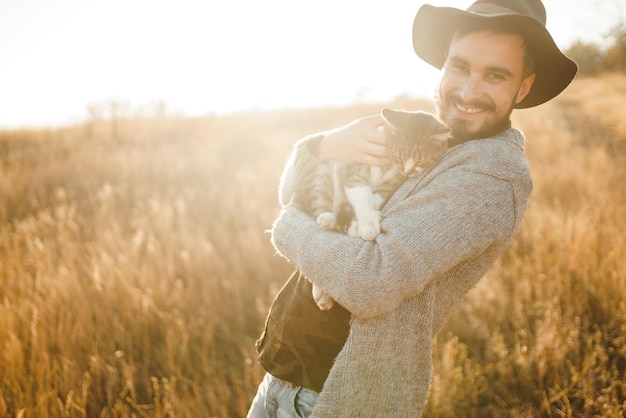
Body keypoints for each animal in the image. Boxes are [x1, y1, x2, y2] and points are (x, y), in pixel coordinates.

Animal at [298, 108, 448, 310]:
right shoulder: (355, 167)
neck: (389, 164)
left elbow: (374, 199)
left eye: (420, 161)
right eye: (399, 155)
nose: (408, 171)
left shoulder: (389, 184)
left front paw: (367, 220)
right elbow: (362, 196)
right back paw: (327, 218)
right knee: (318, 201)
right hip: (321, 174)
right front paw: (368, 226)